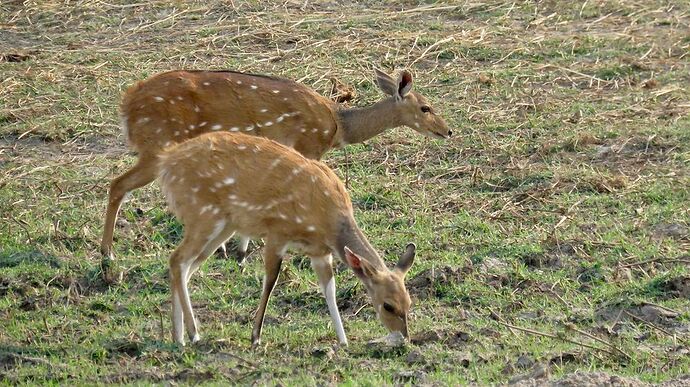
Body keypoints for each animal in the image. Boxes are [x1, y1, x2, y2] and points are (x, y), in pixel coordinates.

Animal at [101, 67, 446, 266]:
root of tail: (127, 104)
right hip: (157, 146)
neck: (338, 125)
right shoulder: (306, 147)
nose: (447, 130)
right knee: (117, 184)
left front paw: (239, 251)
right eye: (425, 107)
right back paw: (107, 254)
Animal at [157, 132, 414, 348]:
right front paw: (256, 336)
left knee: (185, 267)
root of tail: (166, 164)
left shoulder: (320, 252)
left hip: (222, 225)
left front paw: (343, 341)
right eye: (388, 305)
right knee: (177, 259)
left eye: (409, 302)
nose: (404, 336)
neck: (328, 222)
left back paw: (178, 336)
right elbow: (270, 280)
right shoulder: (277, 233)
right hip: (203, 215)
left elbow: (329, 289)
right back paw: (193, 333)